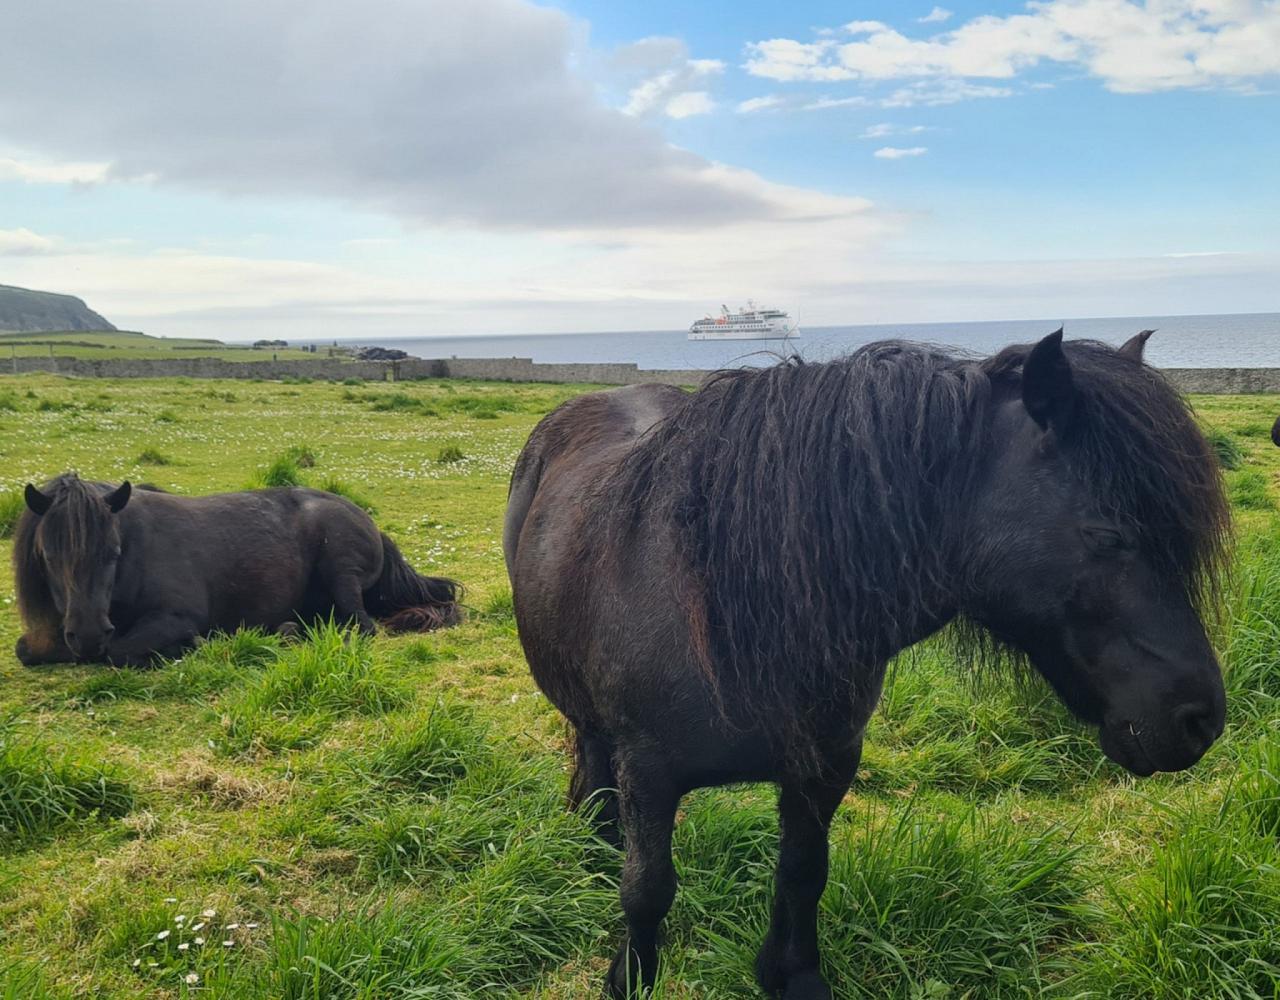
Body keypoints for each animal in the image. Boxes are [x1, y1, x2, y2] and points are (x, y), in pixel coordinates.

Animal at [11, 473, 460, 665]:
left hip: (341, 573)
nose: (88, 635)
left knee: (360, 626)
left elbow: (120, 651)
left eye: (113, 552)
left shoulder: (176, 617)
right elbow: (27, 651)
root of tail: (368, 521)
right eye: (47, 557)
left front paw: (185, 647)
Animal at [506, 323, 1228, 993]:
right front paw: (628, 976)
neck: (724, 602)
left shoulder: (825, 765)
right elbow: (647, 888)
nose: (1199, 719)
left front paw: (792, 975)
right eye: (1107, 532)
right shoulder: (651, 775)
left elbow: (804, 872)